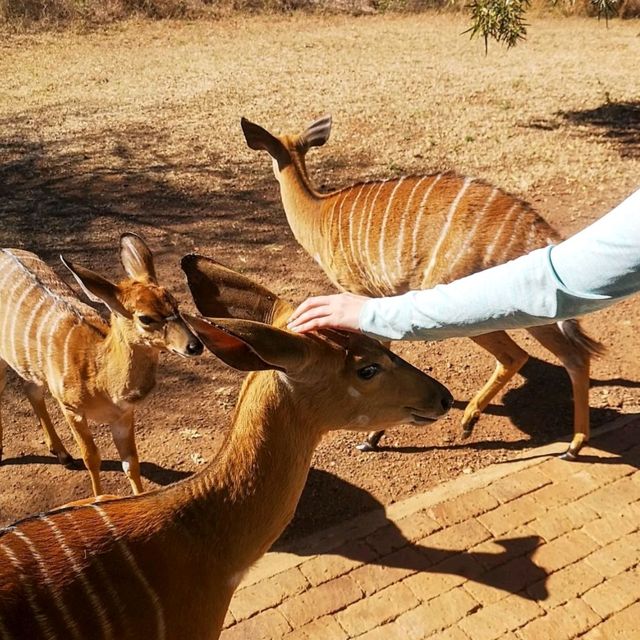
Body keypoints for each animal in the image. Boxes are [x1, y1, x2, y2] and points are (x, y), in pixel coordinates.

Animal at [0, 234, 202, 496]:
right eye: (145, 318)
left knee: (31, 390)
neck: (101, 381)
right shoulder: (71, 408)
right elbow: (92, 458)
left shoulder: (123, 415)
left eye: (175, 304)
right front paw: (98, 498)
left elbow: (131, 463)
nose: (195, 346)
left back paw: (63, 455)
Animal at [241, 112, 604, 458]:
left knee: (518, 354)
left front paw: (373, 438)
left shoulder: (360, 294)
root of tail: (531, 226)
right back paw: (573, 445)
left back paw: (474, 422)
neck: (319, 214)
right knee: (572, 354)